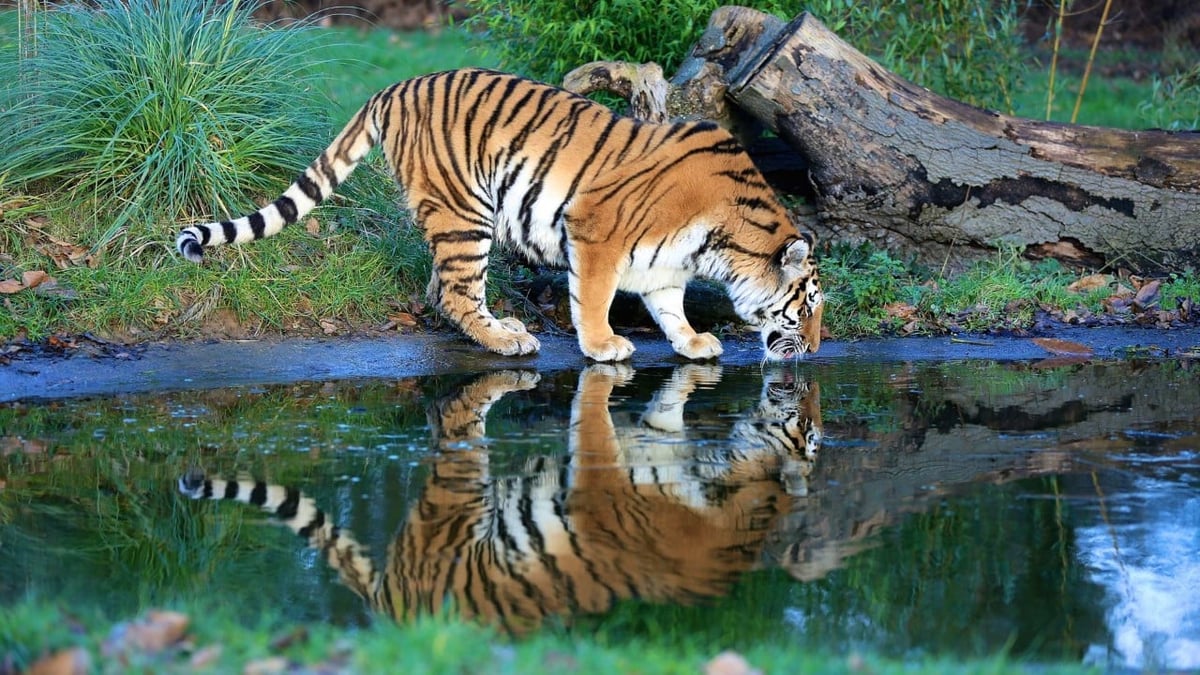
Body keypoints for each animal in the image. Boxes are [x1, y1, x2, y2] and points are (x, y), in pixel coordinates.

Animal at [174, 68, 824, 362]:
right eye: (807, 309)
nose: (816, 352)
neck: (723, 241)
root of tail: (394, 87)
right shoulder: (595, 229)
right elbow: (594, 296)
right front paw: (603, 346)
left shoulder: (665, 263)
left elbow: (670, 305)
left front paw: (693, 343)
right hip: (467, 211)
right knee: (456, 293)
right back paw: (504, 341)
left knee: (446, 291)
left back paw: (506, 328)